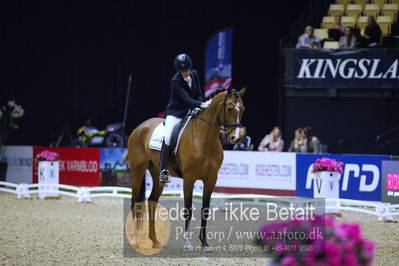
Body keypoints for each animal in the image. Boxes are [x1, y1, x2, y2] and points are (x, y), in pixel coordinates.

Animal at [128, 87, 245, 251]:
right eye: (229, 108)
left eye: (243, 109)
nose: (235, 138)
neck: (204, 140)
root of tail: (140, 127)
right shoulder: (189, 179)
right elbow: (188, 210)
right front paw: (188, 244)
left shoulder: (211, 180)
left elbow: (205, 210)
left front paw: (204, 243)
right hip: (137, 171)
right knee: (135, 202)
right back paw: (136, 240)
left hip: (157, 175)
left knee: (151, 202)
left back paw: (155, 241)